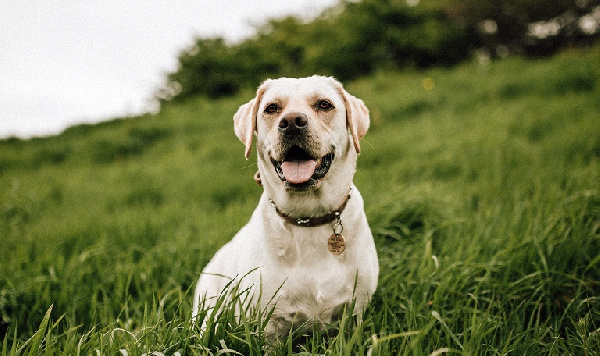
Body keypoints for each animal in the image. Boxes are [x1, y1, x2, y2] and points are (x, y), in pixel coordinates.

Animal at [195, 75, 378, 340]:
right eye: (272, 108)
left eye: (324, 104)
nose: (291, 122)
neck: (307, 218)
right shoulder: (266, 324)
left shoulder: (356, 310)